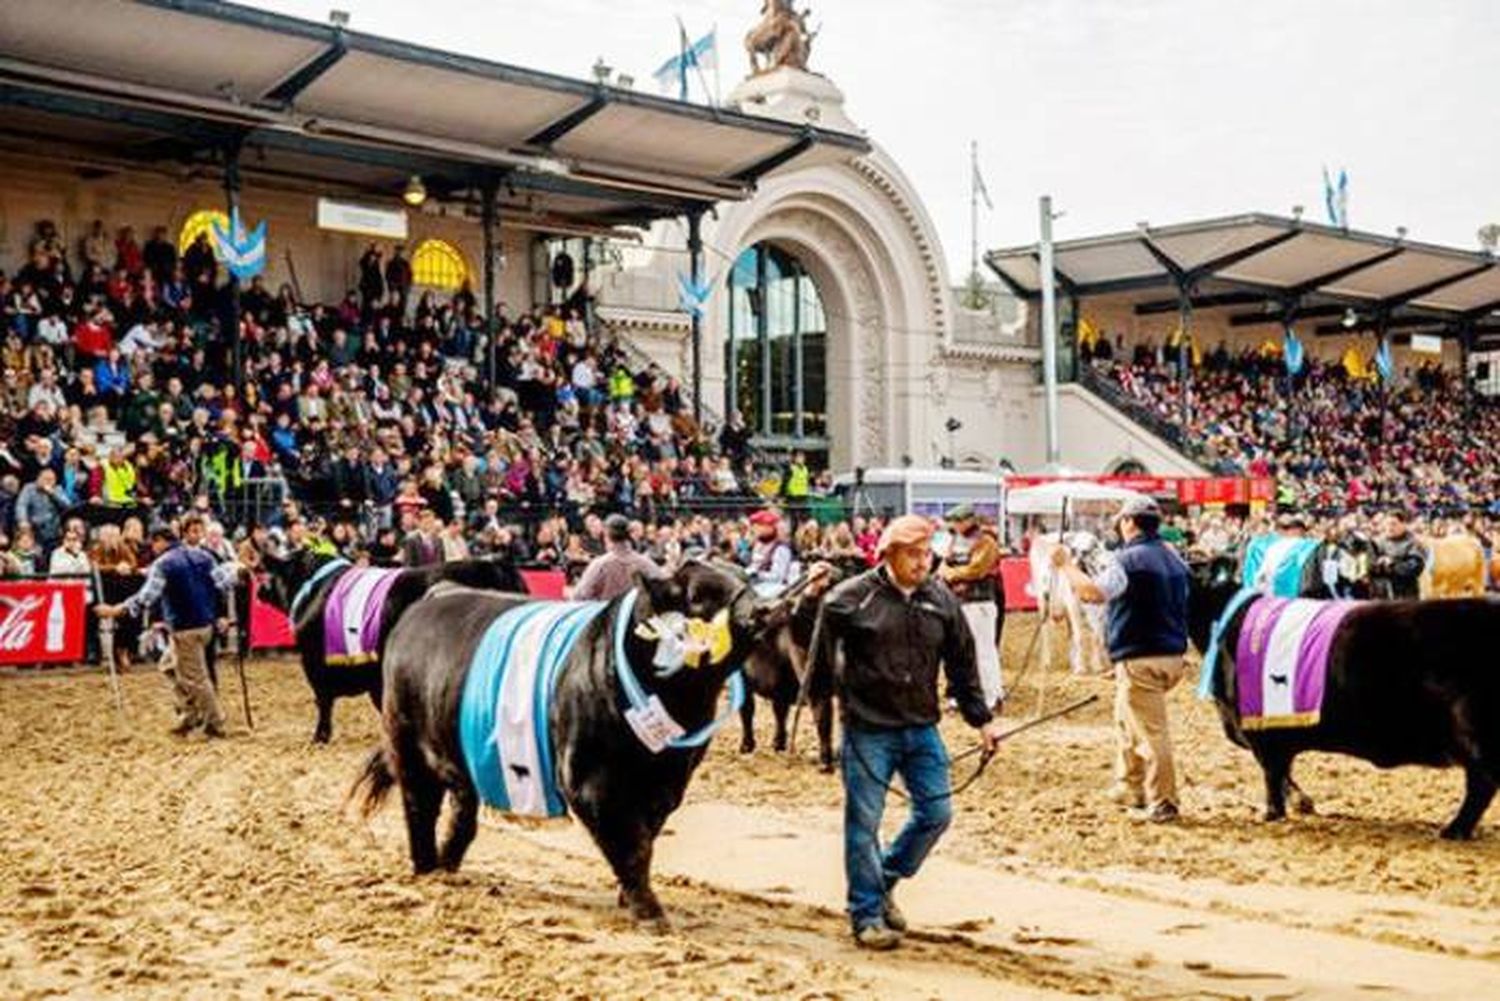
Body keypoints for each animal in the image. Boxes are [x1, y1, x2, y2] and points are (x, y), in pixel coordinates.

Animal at [349, 561, 786, 930]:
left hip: (461, 759)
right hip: (408, 746)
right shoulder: (591, 783)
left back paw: (447, 866)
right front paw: (650, 912)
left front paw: (630, 898)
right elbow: (632, 845)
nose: (766, 607)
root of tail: (438, 593)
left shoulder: (667, 786)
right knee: (419, 807)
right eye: (698, 594)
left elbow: (645, 837)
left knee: (462, 812)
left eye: (743, 576)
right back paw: (426, 870)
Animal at [1188, 552, 1494, 840]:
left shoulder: (1261, 733)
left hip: (1472, 730)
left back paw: (1453, 830)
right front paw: (1302, 803)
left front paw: (1273, 813)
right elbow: (1283, 773)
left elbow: (1272, 775)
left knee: (1482, 783)